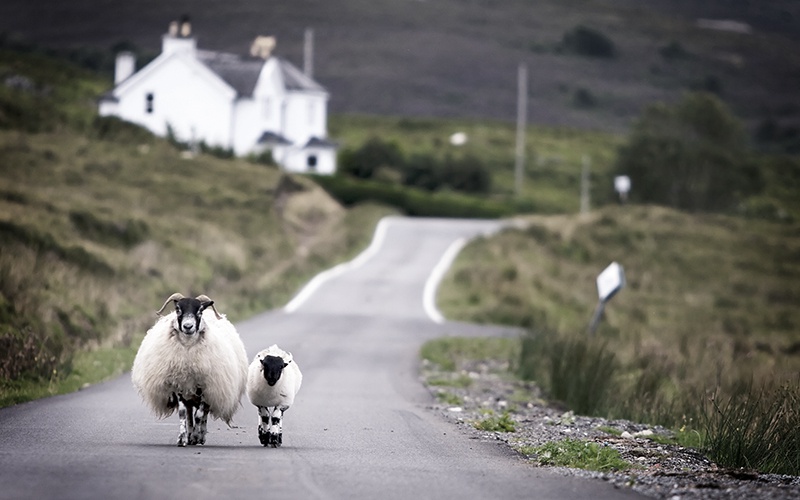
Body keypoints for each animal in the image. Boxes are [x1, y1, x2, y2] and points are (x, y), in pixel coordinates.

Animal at [130, 292, 248, 448]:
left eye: (199, 311)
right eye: (178, 309)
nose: (187, 326)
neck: (187, 351)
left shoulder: (205, 387)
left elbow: (199, 415)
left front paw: (197, 436)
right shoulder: (179, 385)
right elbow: (183, 413)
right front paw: (182, 438)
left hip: (211, 389)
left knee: (203, 414)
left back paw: (200, 436)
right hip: (189, 392)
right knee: (189, 413)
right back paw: (190, 435)